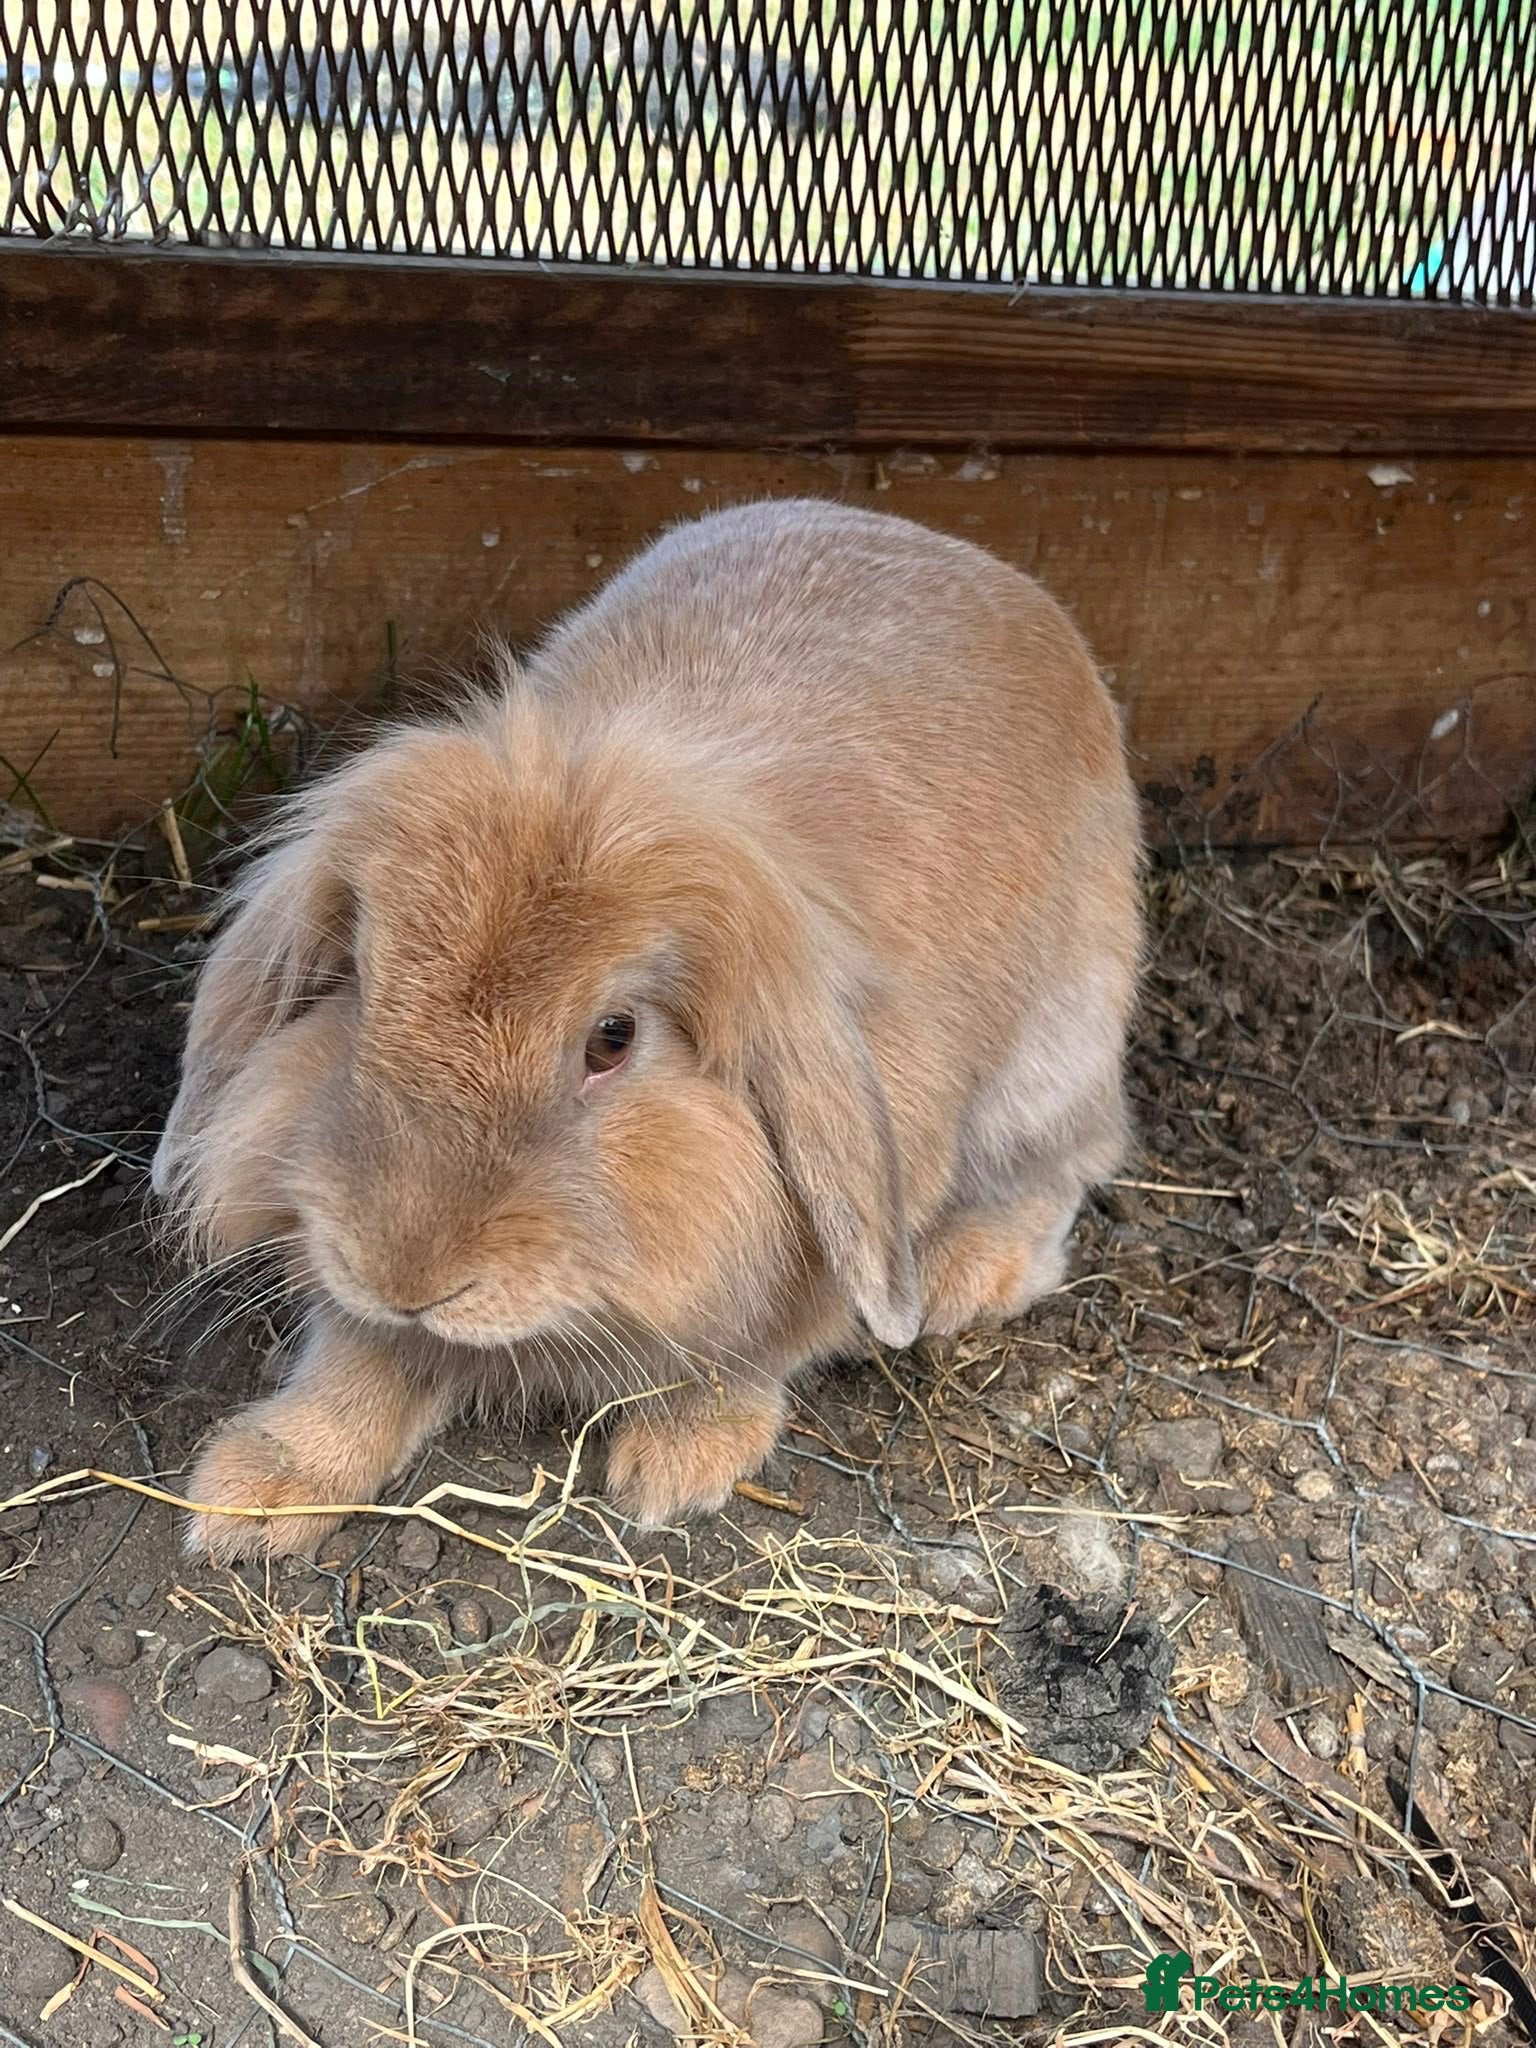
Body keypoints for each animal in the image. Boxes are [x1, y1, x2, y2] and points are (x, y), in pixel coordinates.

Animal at [153, 499, 1142, 1560]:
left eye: (613, 1037)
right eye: (361, 985)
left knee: (1066, 1172)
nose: (407, 1275)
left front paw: (674, 1466)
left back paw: (967, 1273)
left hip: (1055, 1062)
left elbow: (746, 1354)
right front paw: (252, 1494)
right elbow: (357, 1364)